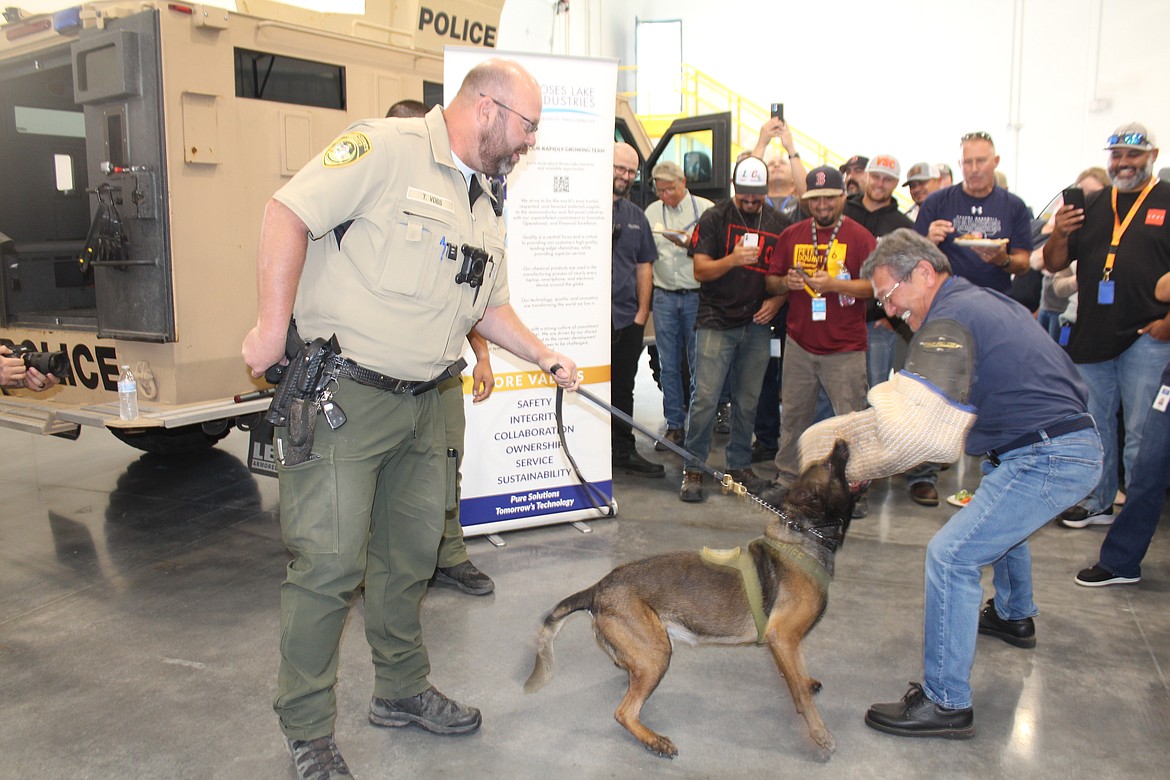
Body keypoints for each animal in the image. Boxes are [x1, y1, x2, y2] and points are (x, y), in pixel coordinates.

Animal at [526, 442, 856, 757]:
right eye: (829, 465)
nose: (842, 441)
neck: (805, 537)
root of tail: (598, 588)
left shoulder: (787, 643)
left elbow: (797, 674)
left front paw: (805, 682)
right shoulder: (783, 637)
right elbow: (800, 691)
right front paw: (819, 733)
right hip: (658, 653)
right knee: (624, 712)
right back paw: (655, 741)